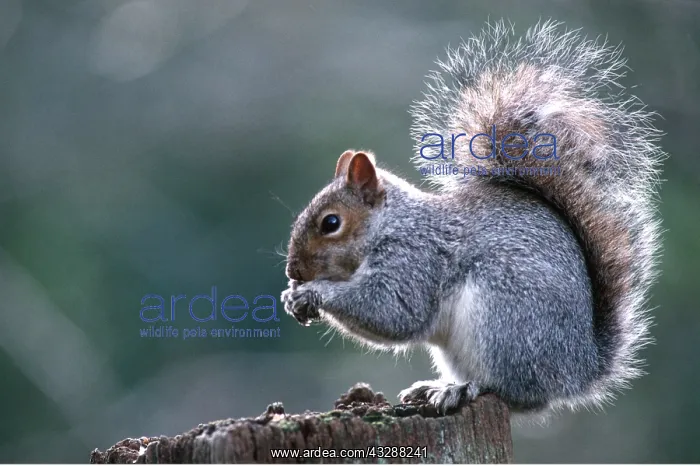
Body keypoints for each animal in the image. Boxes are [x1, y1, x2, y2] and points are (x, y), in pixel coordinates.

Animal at [281, 20, 665, 415]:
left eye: (331, 223)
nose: (293, 270)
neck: (392, 225)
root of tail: (578, 370)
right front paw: (292, 295)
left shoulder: (414, 260)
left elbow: (392, 312)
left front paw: (312, 292)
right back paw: (436, 387)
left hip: (503, 319)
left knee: (514, 392)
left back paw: (465, 389)